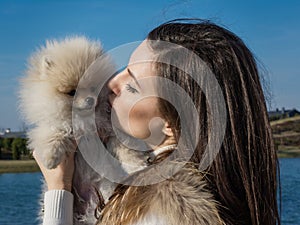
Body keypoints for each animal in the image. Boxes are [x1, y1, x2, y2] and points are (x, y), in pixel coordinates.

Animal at [18, 36, 147, 223]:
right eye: (72, 92)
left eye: (93, 87)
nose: (89, 100)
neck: (84, 119)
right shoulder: (53, 124)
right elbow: (53, 134)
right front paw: (50, 158)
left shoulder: (109, 129)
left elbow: (124, 147)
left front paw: (136, 164)